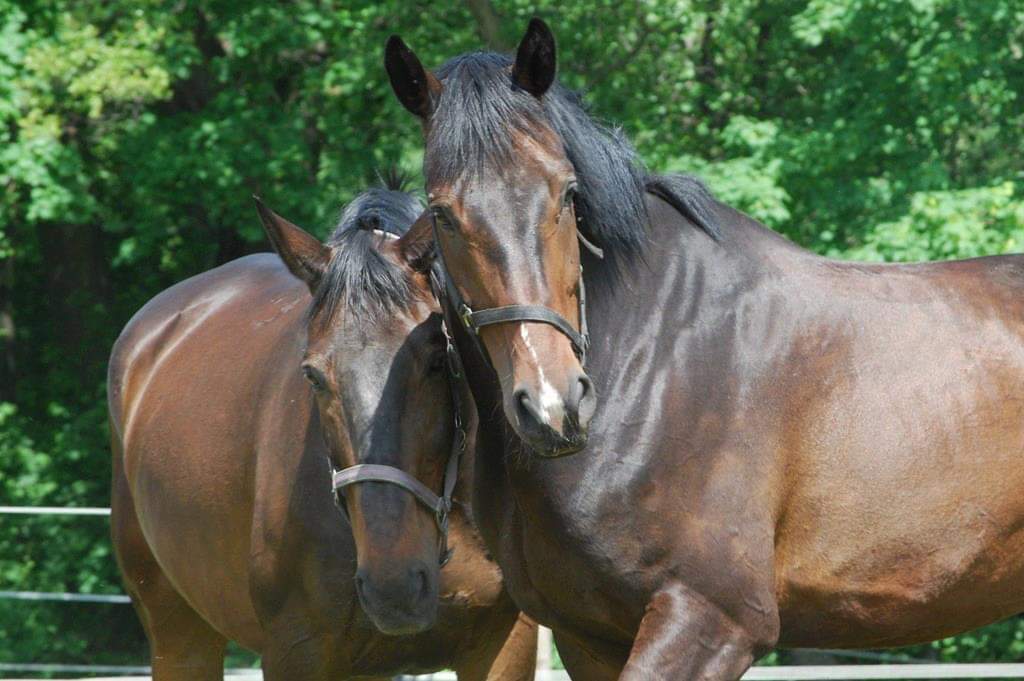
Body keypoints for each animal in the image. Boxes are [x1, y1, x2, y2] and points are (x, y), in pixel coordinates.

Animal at [108, 179, 537, 681]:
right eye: (312, 376)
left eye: (436, 358)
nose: (393, 585)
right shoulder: (296, 650)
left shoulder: (506, 642)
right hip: (178, 634)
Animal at [378, 19, 1024, 680]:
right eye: (441, 213)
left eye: (567, 193)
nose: (554, 405)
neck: (654, 355)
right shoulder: (589, 636)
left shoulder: (712, 618)